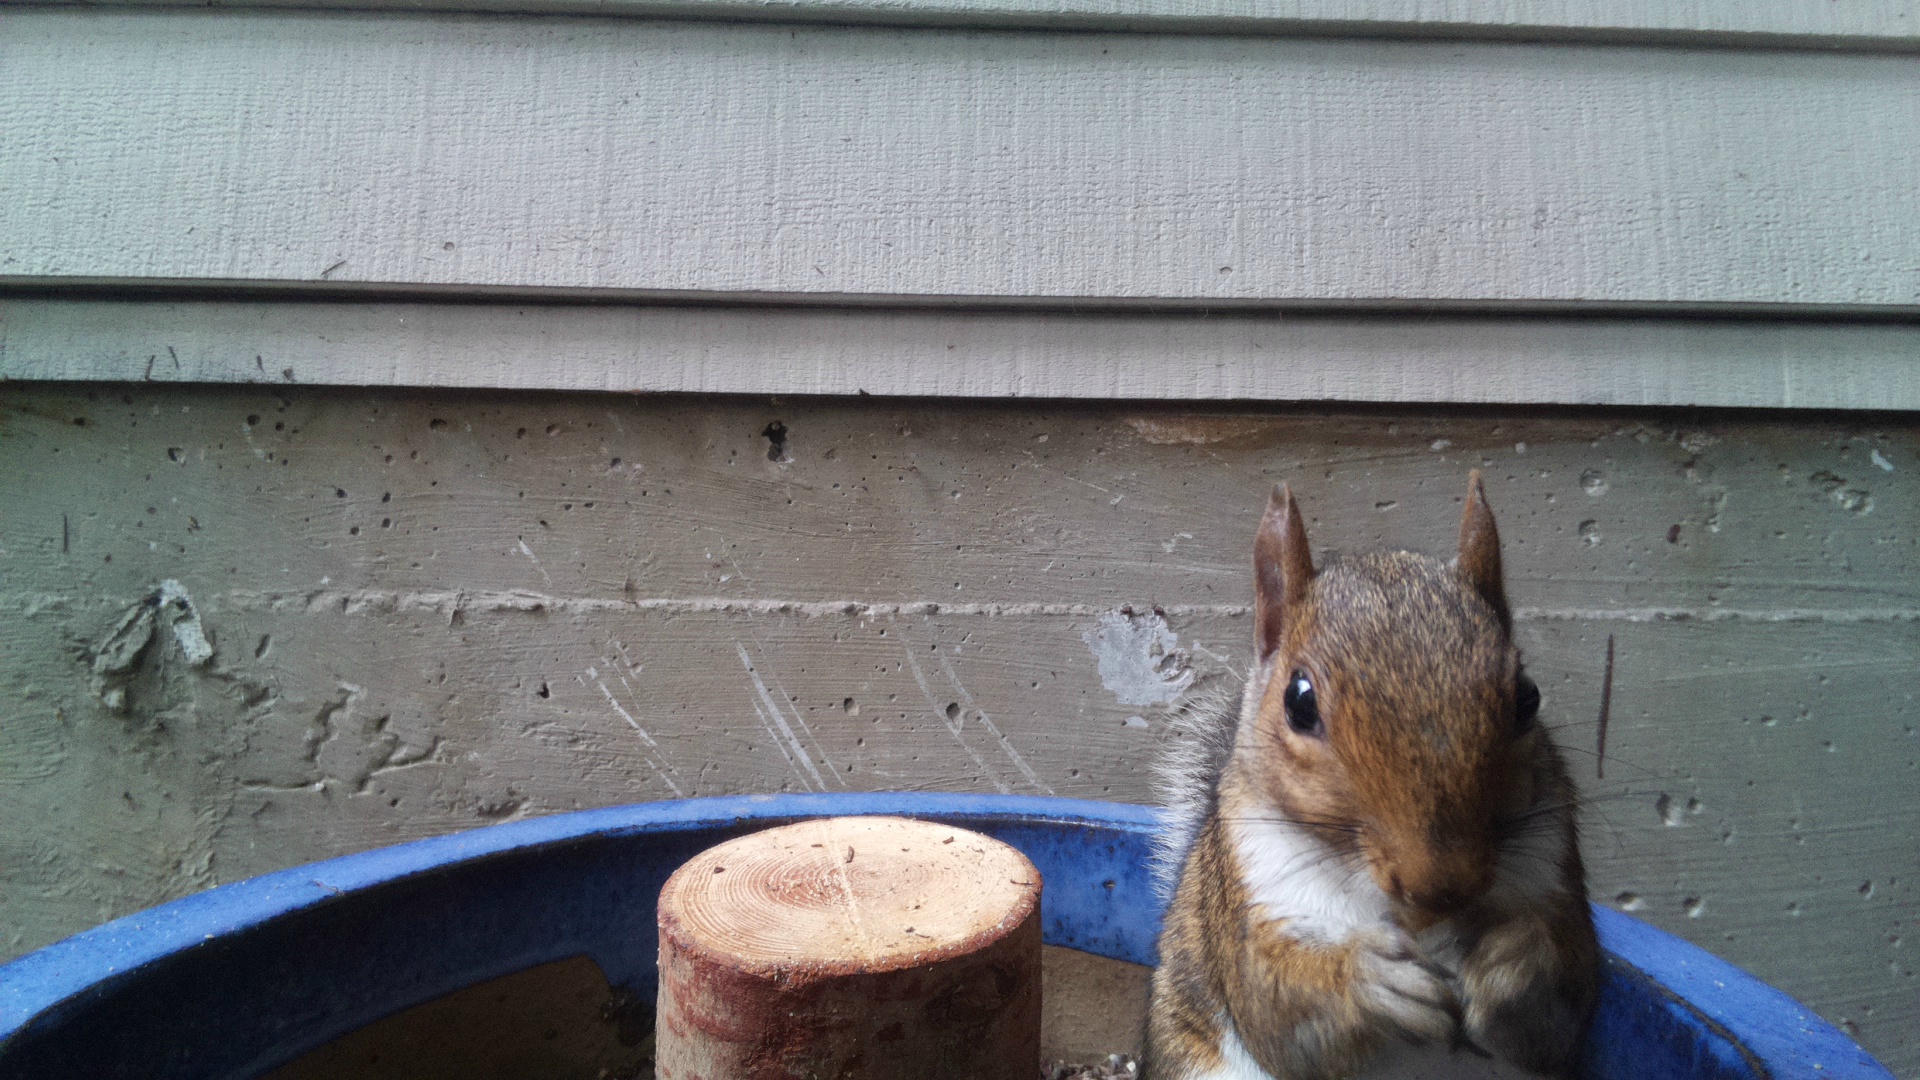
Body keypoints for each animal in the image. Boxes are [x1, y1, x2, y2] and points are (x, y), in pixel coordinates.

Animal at [1144, 473, 1598, 1080]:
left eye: (1529, 698)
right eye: (1299, 702)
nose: (1442, 887)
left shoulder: (1555, 869)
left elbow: (1567, 997)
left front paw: (1510, 960)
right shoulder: (1248, 903)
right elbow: (1276, 1008)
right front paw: (1367, 982)